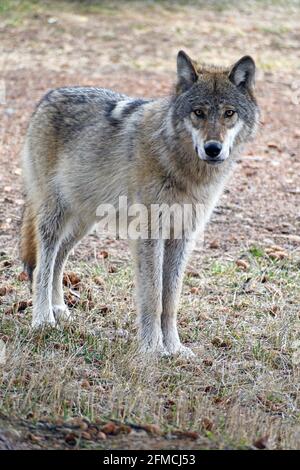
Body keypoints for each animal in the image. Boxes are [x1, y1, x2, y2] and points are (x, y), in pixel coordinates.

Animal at [19, 51, 258, 356]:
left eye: (229, 113)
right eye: (198, 113)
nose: (213, 149)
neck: (181, 167)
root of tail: (48, 96)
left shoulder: (182, 237)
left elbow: (171, 300)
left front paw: (175, 349)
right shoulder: (150, 235)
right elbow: (153, 297)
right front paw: (152, 349)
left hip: (82, 224)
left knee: (58, 261)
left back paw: (59, 310)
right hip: (55, 217)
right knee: (42, 266)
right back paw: (43, 320)